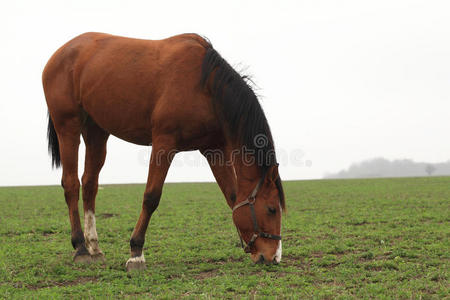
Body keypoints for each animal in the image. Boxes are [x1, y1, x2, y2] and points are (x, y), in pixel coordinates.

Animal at [42, 32, 284, 270]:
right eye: (272, 209)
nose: (274, 257)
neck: (205, 86)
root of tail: (59, 54)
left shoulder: (214, 150)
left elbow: (232, 196)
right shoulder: (163, 144)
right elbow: (151, 196)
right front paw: (136, 253)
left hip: (96, 132)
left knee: (90, 184)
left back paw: (94, 247)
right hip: (68, 127)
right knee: (71, 184)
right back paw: (81, 247)